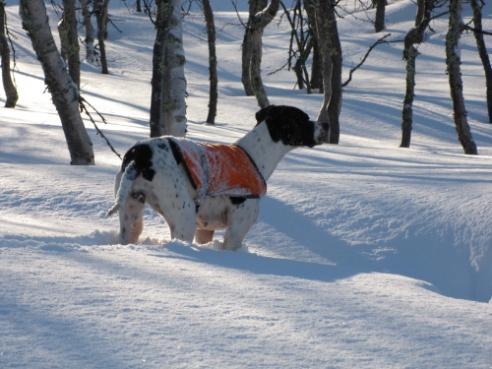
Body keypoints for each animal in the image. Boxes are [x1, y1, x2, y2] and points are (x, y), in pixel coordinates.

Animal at [109, 105, 328, 249]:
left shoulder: (205, 230)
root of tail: (140, 154)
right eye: (304, 119)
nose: (325, 126)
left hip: (131, 215)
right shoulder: (237, 228)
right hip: (184, 218)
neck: (254, 155)